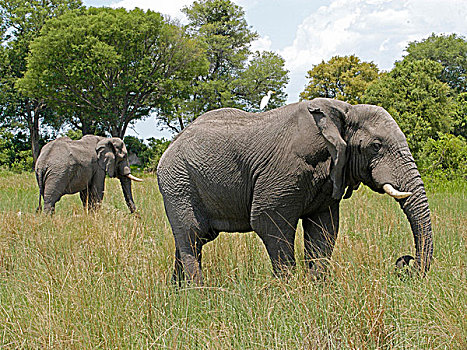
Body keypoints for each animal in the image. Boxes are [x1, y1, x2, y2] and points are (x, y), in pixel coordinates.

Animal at [158, 98, 436, 284]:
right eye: (376, 146)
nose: (405, 262)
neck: (343, 111)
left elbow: (324, 229)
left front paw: (317, 288)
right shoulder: (286, 170)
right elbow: (269, 222)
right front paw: (288, 294)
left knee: (191, 239)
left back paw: (178, 293)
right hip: (178, 182)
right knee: (192, 236)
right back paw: (199, 294)